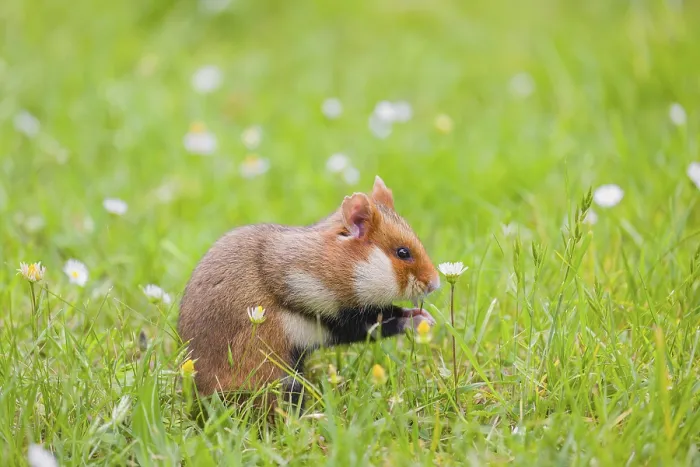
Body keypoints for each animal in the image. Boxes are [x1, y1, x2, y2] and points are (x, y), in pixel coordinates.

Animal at [178, 176, 440, 404]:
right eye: (403, 253)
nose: (435, 284)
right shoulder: (327, 310)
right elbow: (378, 322)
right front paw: (420, 321)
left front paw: (427, 317)